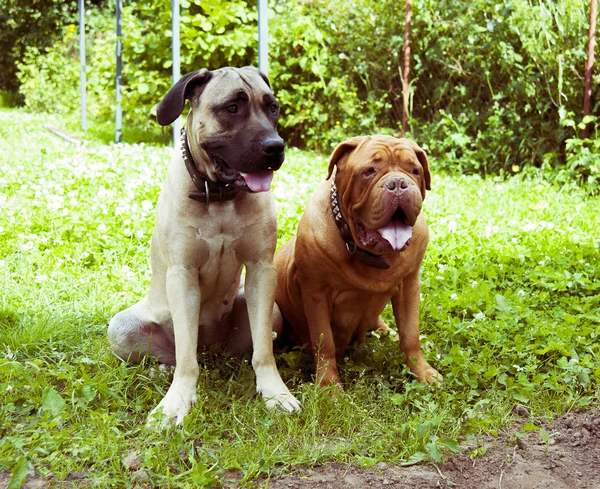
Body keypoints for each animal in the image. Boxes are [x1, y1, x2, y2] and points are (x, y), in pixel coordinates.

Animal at [108, 66, 300, 426]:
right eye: (232, 108)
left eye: (273, 108)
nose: (275, 146)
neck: (219, 196)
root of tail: (210, 349)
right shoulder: (182, 275)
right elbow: (185, 358)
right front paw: (176, 402)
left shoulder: (261, 269)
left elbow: (264, 352)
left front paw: (275, 392)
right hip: (121, 327)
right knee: (174, 354)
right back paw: (161, 370)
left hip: (273, 310)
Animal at [276, 133, 440, 386]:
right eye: (369, 171)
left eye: (415, 171)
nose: (399, 184)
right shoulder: (316, 294)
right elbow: (324, 343)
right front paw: (329, 386)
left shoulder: (410, 286)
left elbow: (411, 335)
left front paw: (423, 372)